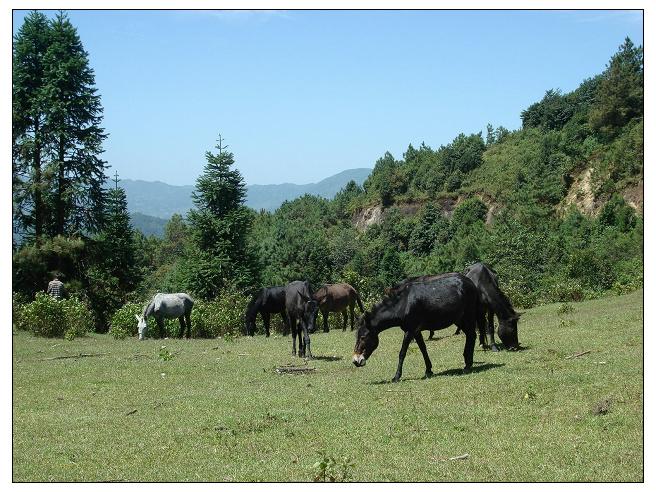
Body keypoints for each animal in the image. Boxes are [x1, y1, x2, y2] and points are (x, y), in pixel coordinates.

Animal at [354, 274, 482, 382]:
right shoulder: (416, 331)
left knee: (472, 335)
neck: (403, 304)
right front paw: (428, 370)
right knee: (470, 335)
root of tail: (470, 282)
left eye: (363, 337)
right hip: (459, 319)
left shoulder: (409, 331)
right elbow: (423, 349)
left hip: (468, 316)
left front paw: (396, 376)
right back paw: (467, 361)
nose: (356, 361)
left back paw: (468, 365)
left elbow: (402, 353)